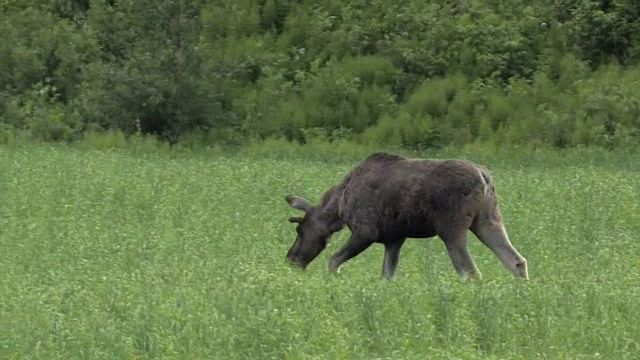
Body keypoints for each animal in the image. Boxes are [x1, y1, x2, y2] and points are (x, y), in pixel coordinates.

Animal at [284, 152, 524, 282]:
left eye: (299, 230)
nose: (291, 259)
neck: (339, 206)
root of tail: (484, 177)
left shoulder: (365, 232)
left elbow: (333, 261)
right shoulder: (394, 239)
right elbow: (387, 275)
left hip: (452, 228)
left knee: (471, 273)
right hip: (488, 220)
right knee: (517, 261)